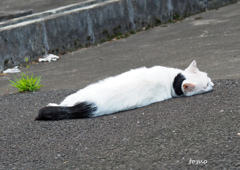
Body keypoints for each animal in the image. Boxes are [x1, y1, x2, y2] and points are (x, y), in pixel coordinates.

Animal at [35, 60, 214, 121]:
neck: (172, 80)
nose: (213, 84)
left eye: (208, 77)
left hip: (70, 99)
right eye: (206, 85)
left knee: (60, 105)